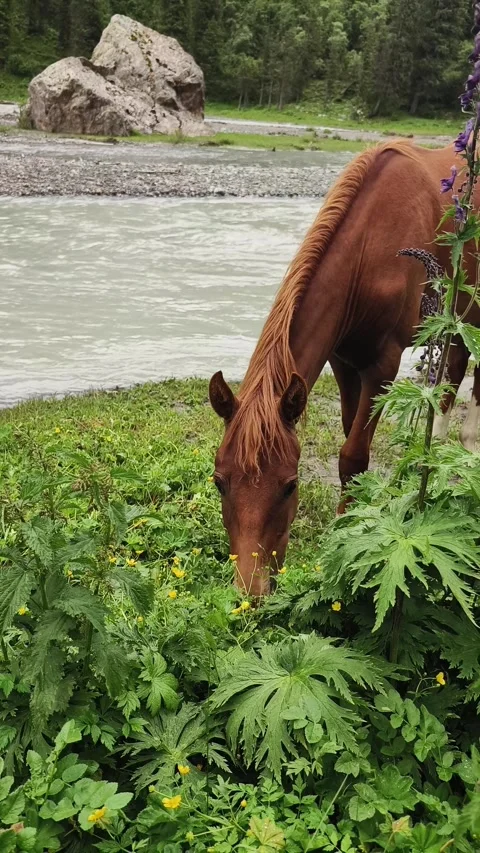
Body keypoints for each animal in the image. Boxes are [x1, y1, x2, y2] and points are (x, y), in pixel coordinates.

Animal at [209, 140, 480, 597]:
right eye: (219, 482)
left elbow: (353, 455)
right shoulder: (343, 362)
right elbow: (350, 434)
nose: (252, 592)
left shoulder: (382, 366)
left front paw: (344, 530)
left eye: (290, 486)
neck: (371, 247)